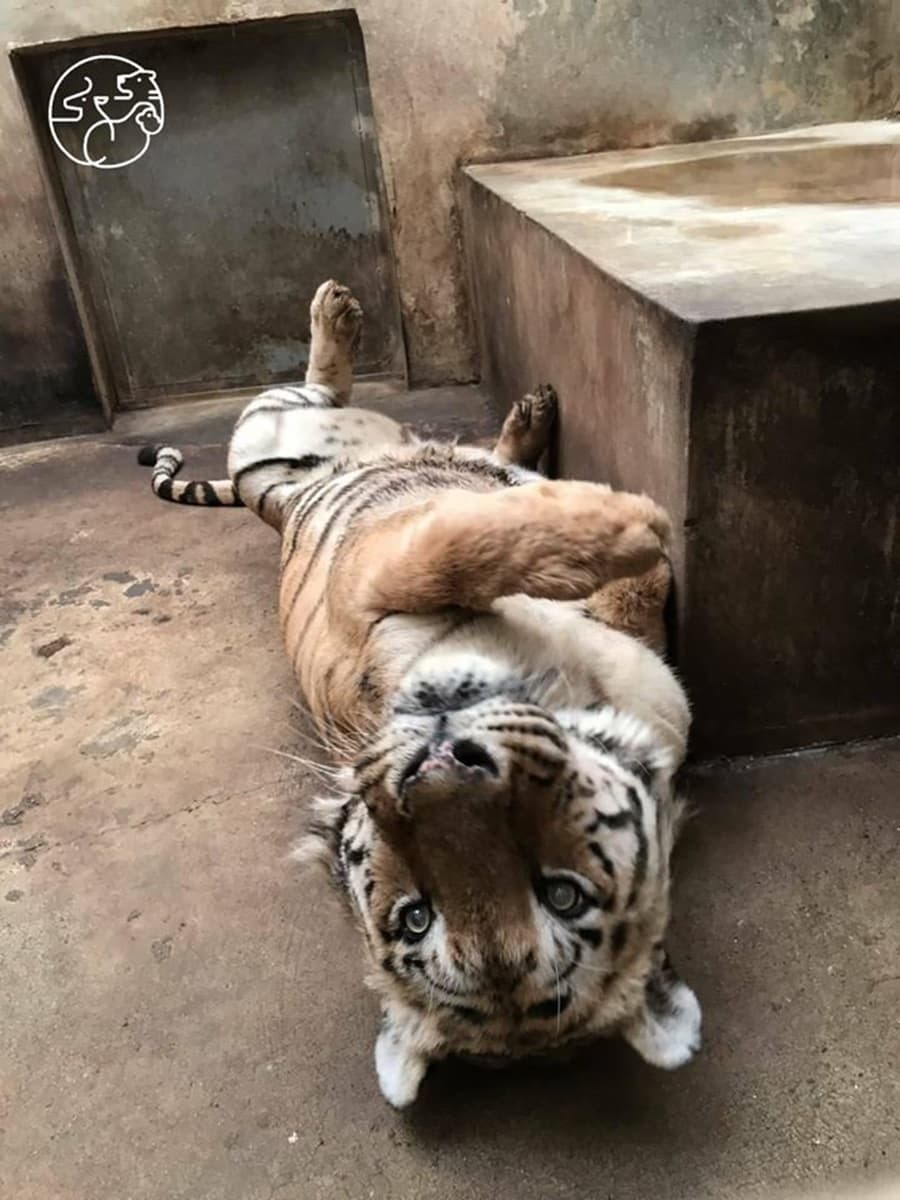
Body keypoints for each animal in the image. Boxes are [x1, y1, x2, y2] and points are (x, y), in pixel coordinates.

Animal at [138, 279, 700, 1107]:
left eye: (560, 896)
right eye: (415, 915)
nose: (434, 770)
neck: (556, 675)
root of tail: (275, 506)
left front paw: (624, 533)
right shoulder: (374, 573)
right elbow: (468, 542)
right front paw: (637, 526)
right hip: (270, 430)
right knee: (325, 388)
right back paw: (343, 316)